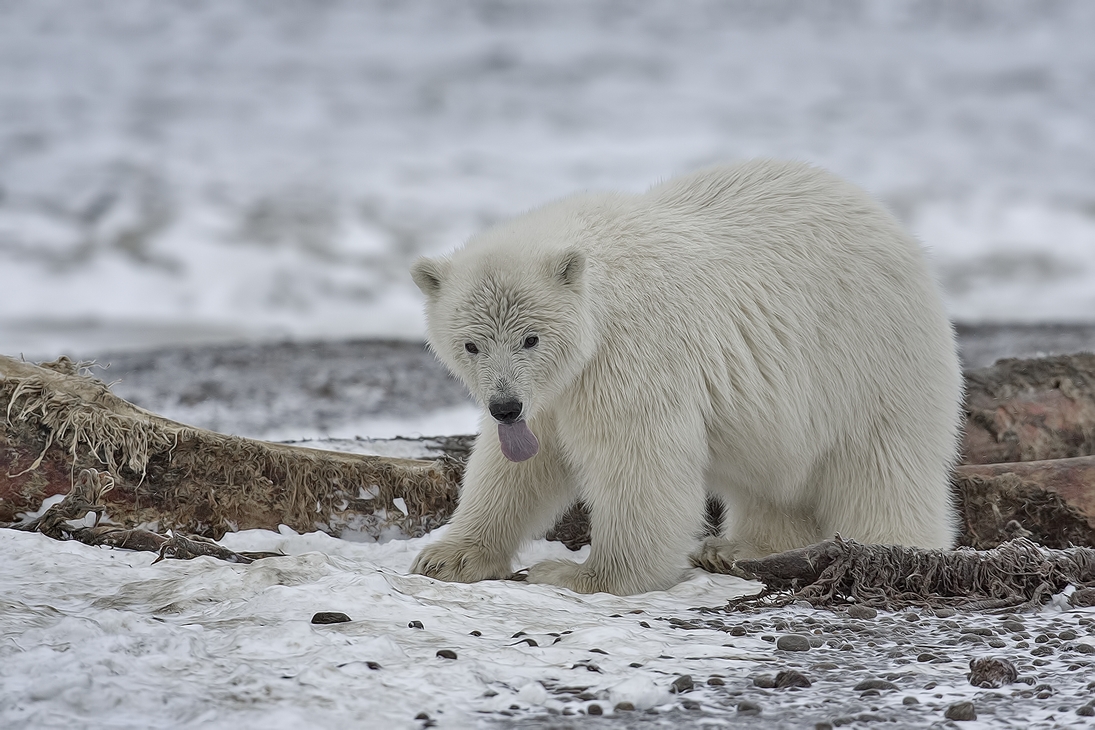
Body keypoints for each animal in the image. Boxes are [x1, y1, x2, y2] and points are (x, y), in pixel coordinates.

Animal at [409, 159, 959, 595]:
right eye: (471, 344)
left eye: (531, 338)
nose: (504, 406)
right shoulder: (554, 389)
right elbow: (518, 463)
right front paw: (447, 557)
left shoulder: (632, 350)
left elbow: (639, 459)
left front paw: (582, 575)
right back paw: (736, 549)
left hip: (870, 357)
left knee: (881, 467)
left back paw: (889, 550)